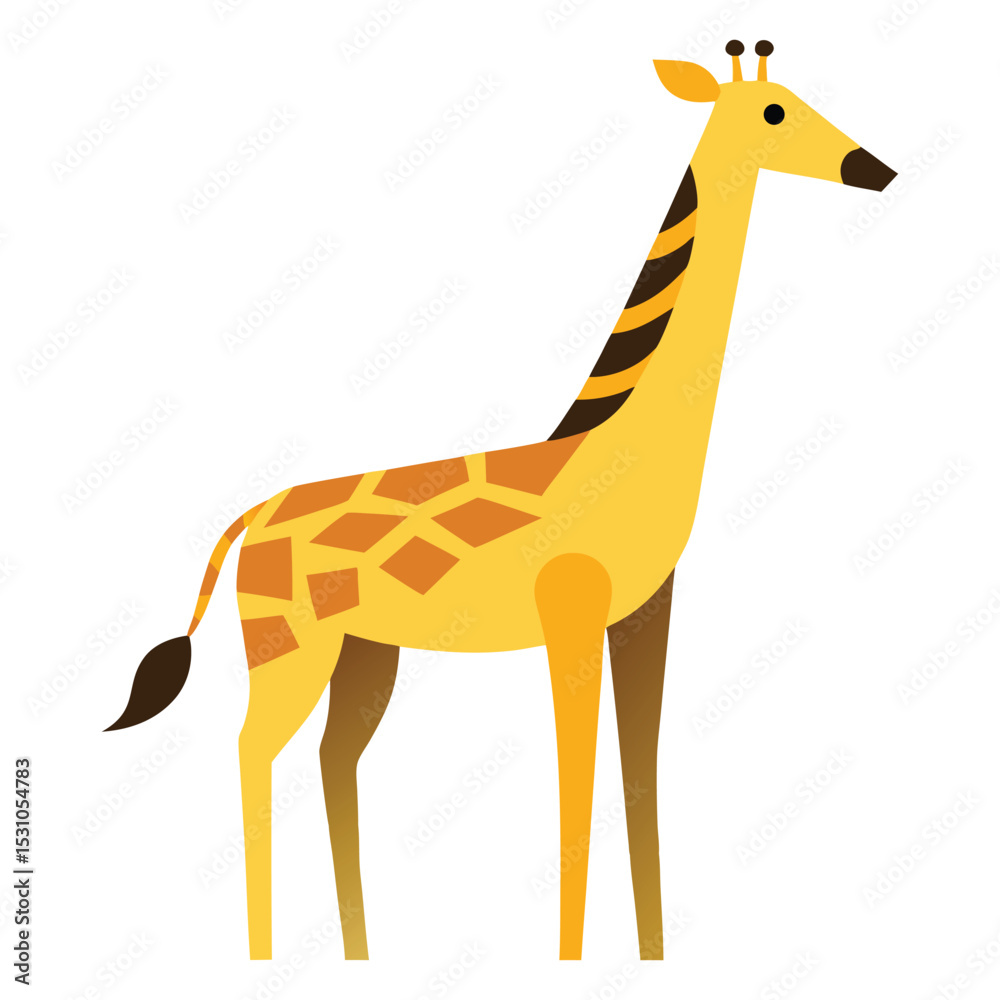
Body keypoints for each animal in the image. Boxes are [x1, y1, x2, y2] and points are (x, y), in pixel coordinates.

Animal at [106, 41, 896, 962]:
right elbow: (574, 785)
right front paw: (570, 960)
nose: (875, 169)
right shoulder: (569, 618)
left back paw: (361, 953)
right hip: (285, 649)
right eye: (775, 112)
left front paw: (655, 955)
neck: (619, 453)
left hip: (365, 652)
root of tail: (245, 522)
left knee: (334, 759)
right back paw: (263, 954)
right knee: (249, 752)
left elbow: (639, 776)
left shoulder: (646, 613)